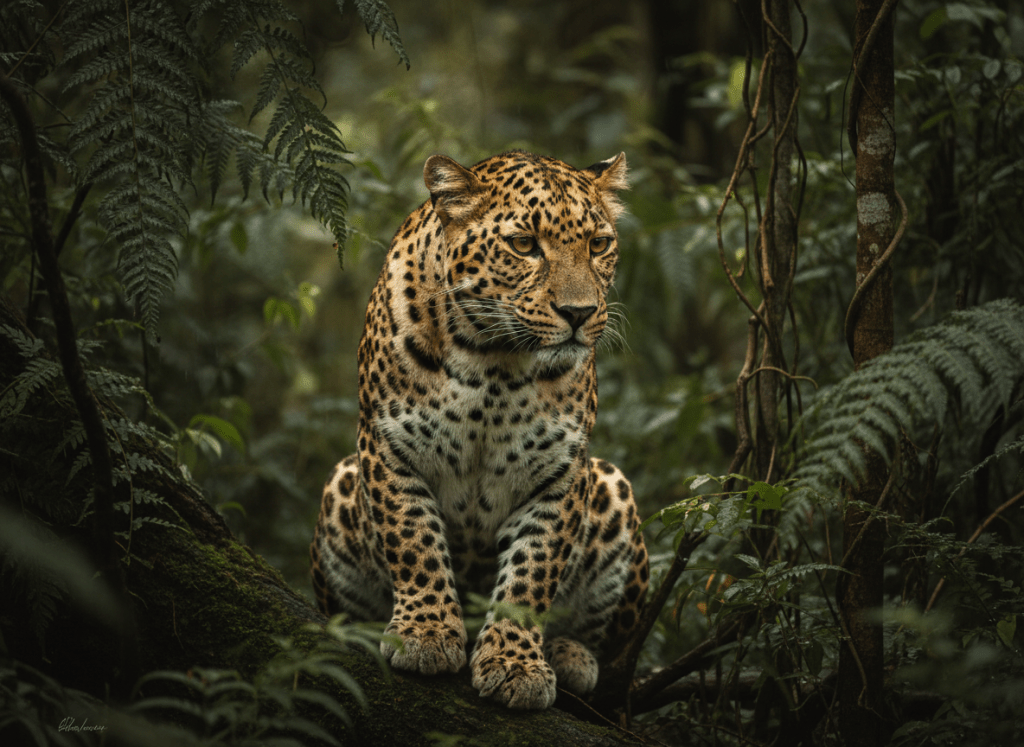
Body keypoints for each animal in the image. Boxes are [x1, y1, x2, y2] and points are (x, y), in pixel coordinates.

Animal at [309, 149, 649, 710]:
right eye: (524, 245)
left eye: (599, 245)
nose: (579, 314)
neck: (494, 361)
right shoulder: (387, 446)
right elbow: (413, 539)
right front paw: (426, 634)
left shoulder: (560, 473)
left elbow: (532, 572)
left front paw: (516, 664)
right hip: (341, 485)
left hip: (610, 486)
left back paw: (570, 656)